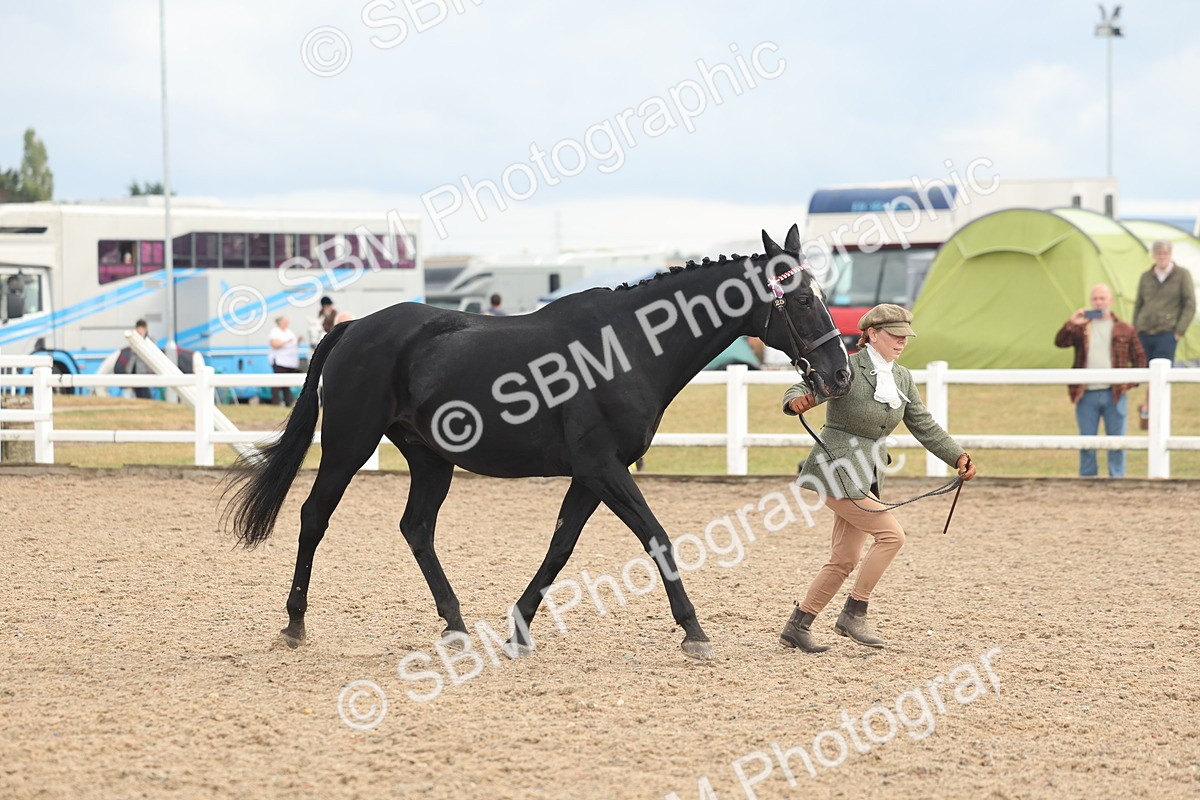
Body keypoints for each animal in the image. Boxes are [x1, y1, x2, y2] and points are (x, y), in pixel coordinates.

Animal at [224, 225, 852, 660]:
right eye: (801, 299)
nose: (840, 373)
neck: (627, 346)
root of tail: (353, 327)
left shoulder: (591, 475)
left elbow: (560, 546)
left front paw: (519, 629)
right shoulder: (603, 468)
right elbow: (656, 537)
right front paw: (694, 631)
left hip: (431, 460)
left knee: (416, 528)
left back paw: (455, 625)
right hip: (348, 446)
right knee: (314, 516)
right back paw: (294, 623)